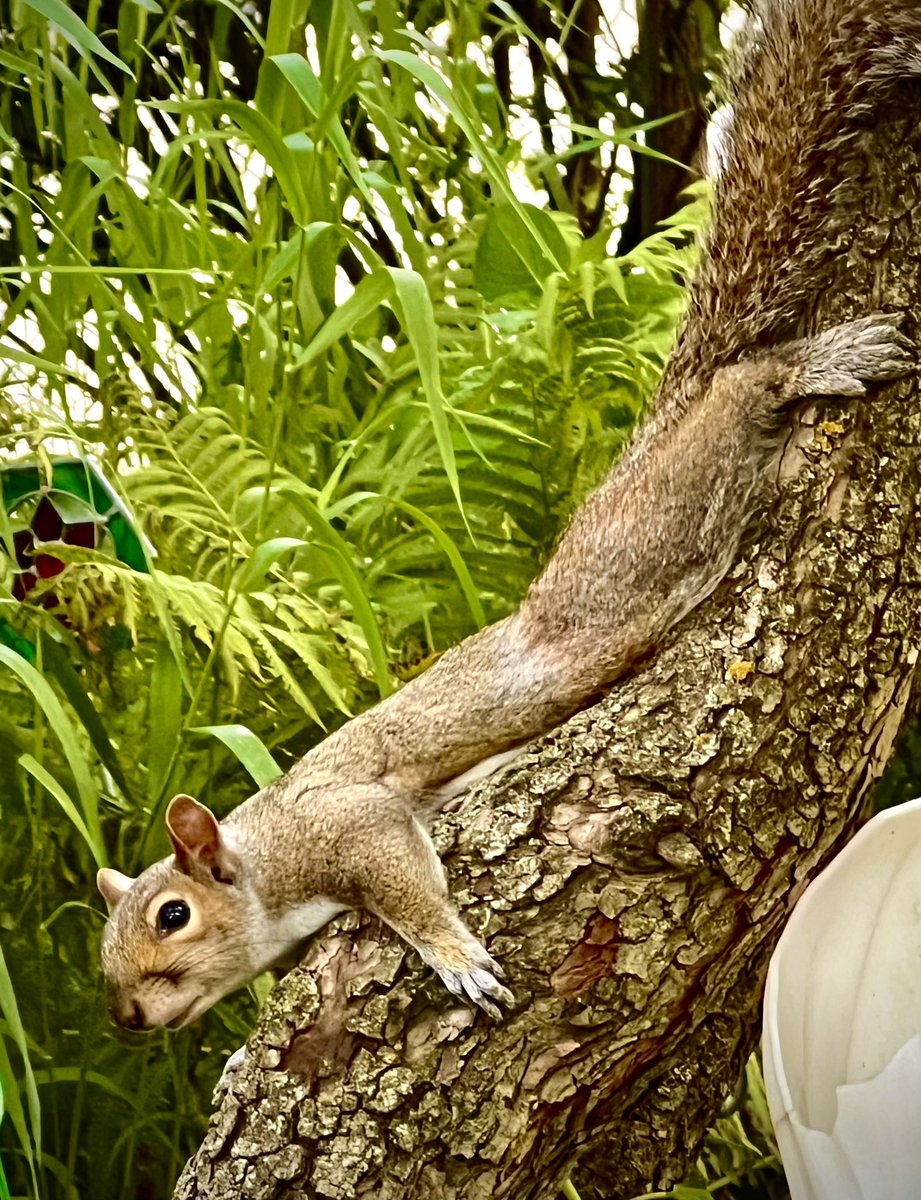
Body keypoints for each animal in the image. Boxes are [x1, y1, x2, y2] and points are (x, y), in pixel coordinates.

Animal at [97, 0, 917, 1031]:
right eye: (106, 952)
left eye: (172, 915)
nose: (128, 1019)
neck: (263, 852)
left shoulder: (347, 823)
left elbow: (401, 880)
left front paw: (451, 955)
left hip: (630, 562)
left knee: (737, 393)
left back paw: (802, 365)